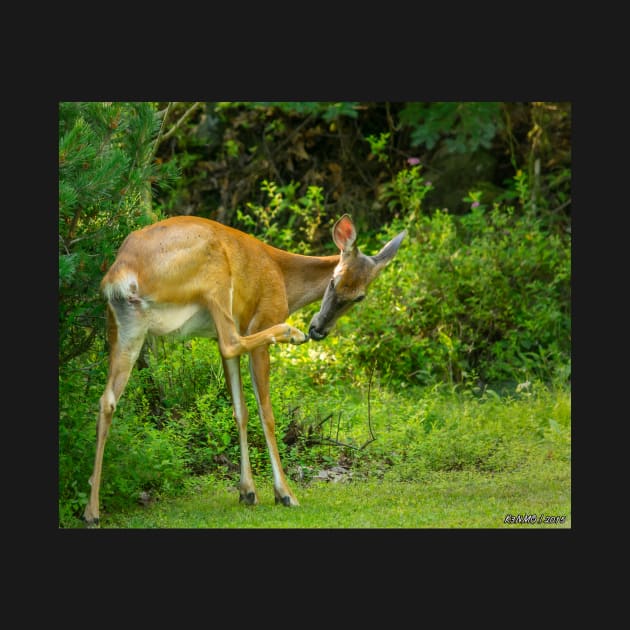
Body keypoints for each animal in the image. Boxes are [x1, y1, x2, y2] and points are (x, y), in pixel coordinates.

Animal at [82, 214, 404, 528]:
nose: (319, 329)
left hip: (125, 326)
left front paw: (248, 491)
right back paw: (290, 332)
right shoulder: (261, 319)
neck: (283, 278)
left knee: (107, 400)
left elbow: (240, 410)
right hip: (215, 278)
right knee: (232, 341)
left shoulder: (216, 338)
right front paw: (284, 494)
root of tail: (122, 273)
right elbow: (266, 413)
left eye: (360, 297)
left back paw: (92, 511)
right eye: (333, 282)